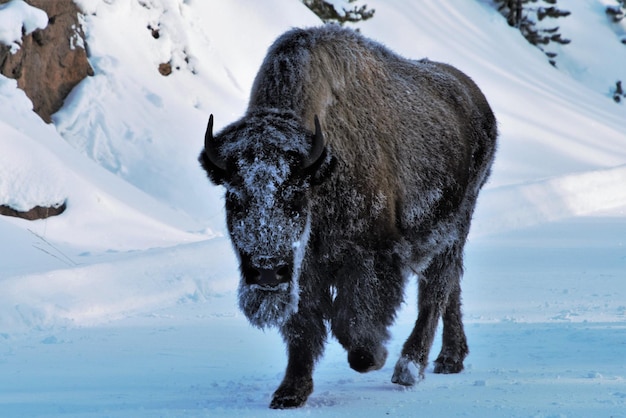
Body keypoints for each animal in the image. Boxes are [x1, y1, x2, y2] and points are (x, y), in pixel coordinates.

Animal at [197, 25, 494, 408]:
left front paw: (373, 357)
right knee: (450, 285)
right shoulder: (304, 270)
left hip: (456, 224)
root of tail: (474, 95)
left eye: (295, 197)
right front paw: (289, 393)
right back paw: (449, 359)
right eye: (234, 200)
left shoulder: (370, 255)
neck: (322, 168)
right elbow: (303, 327)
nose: (266, 271)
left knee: (435, 290)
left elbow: (349, 320)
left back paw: (408, 368)